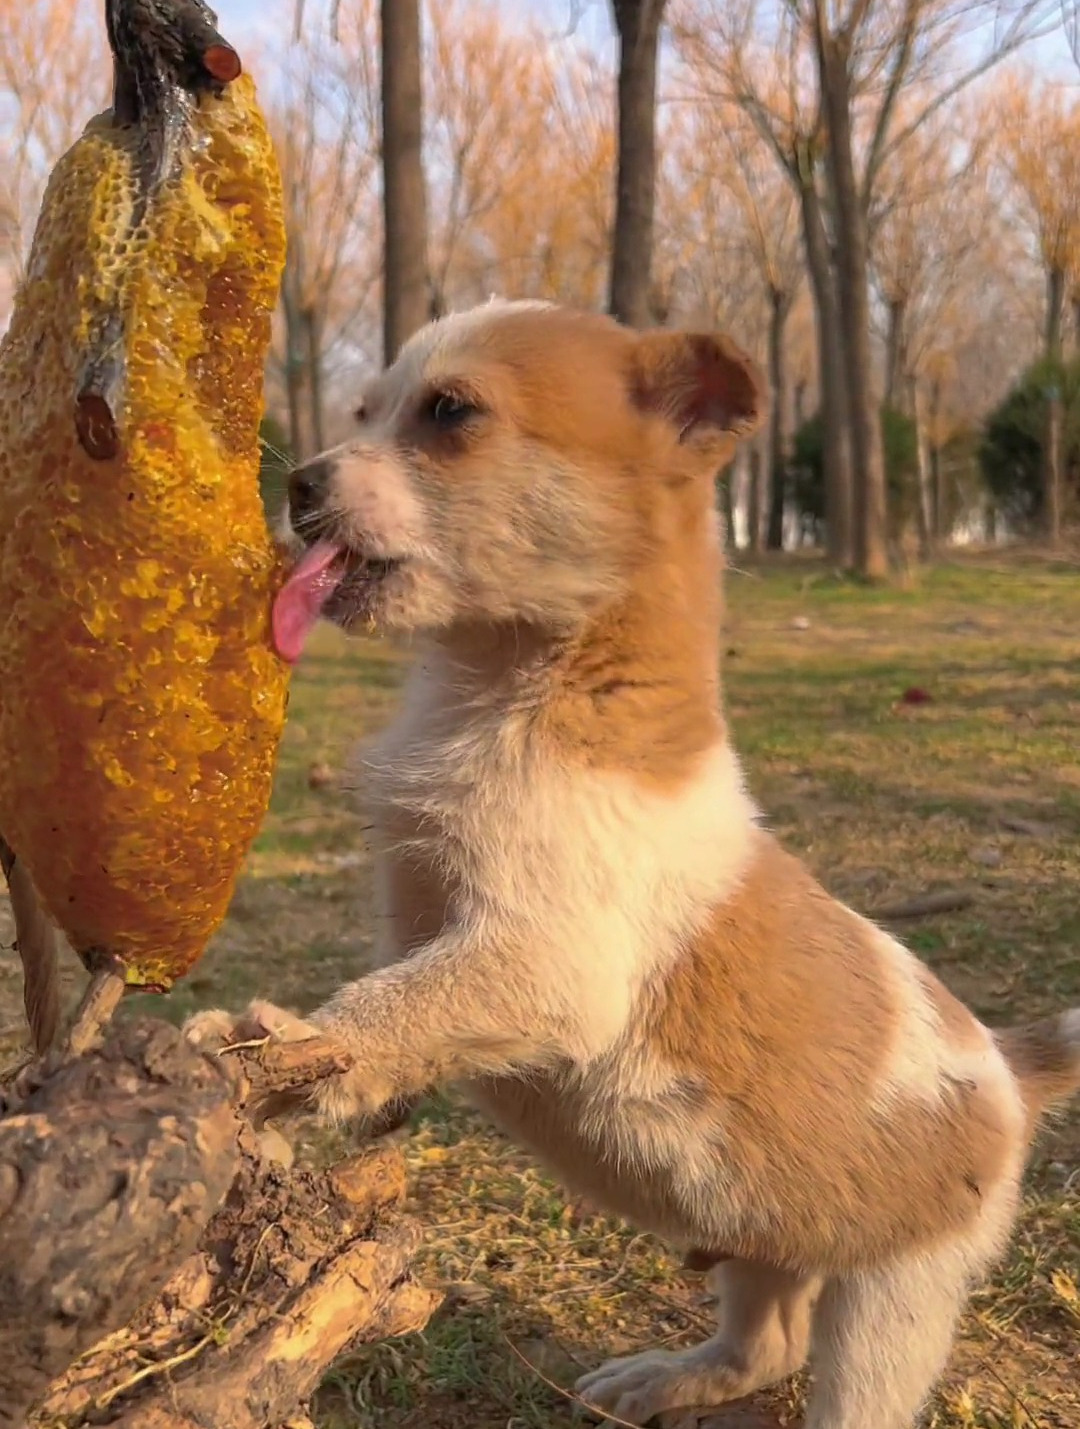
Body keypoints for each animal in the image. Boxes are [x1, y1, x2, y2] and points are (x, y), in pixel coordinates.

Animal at [185, 301, 1080, 1429]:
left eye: (449, 412)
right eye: (366, 411)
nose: (299, 483)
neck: (515, 688)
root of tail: (1010, 1063)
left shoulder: (546, 962)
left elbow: (384, 1008)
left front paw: (281, 1046)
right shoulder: (420, 912)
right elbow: (396, 1015)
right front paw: (289, 1096)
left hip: (892, 1303)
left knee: (840, 1377)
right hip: (762, 1235)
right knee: (764, 1343)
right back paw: (660, 1378)